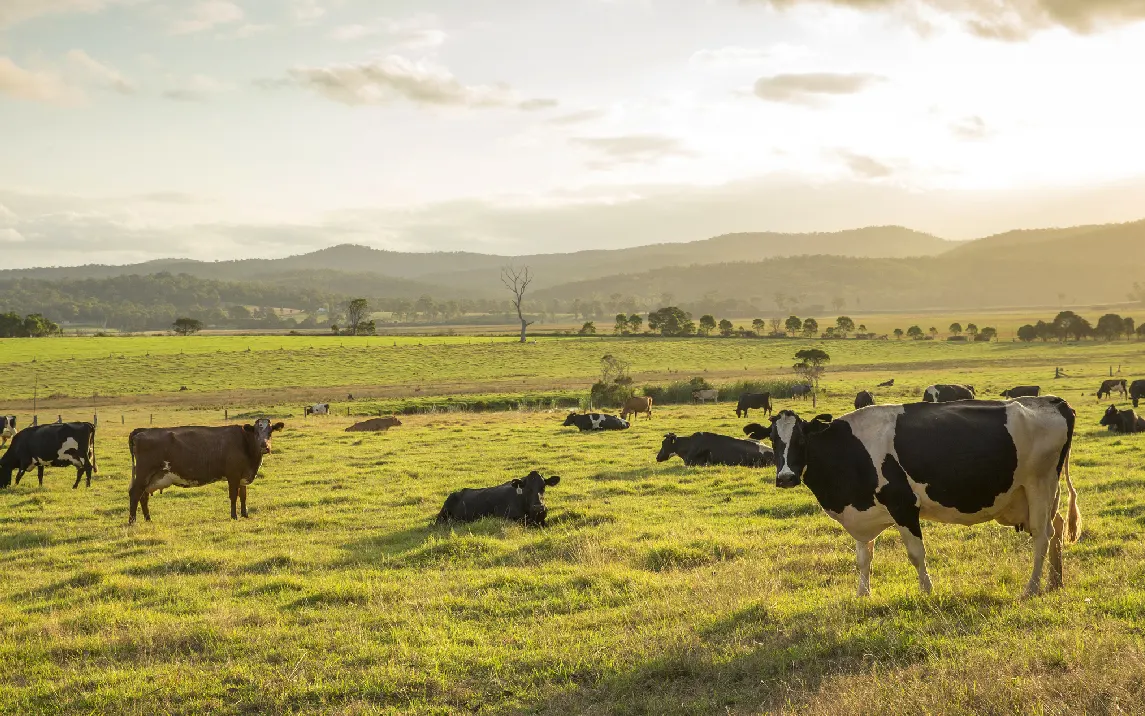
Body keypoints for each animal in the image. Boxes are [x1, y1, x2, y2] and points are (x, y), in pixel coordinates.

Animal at [126, 416, 282, 522]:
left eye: (270, 432)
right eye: (256, 432)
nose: (264, 446)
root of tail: (142, 431)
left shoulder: (242, 476)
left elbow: (243, 496)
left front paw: (245, 514)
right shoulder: (233, 475)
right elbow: (233, 496)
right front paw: (234, 516)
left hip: (152, 477)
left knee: (143, 496)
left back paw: (148, 519)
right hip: (143, 473)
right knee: (135, 494)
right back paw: (132, 522)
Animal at [769, 396, 1080, 595]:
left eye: (801, 439)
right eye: (773, 440)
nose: (785, 477)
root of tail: (1053, 401)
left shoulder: (903, 505)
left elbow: (916, 554)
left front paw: (927, 591)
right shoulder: (863, 514)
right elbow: (863, 556)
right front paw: (862, 595)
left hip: (1039, 483)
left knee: (1043, 535)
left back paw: (1031, 588)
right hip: (1040, 492)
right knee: (1058, 526)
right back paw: (1055, 582)